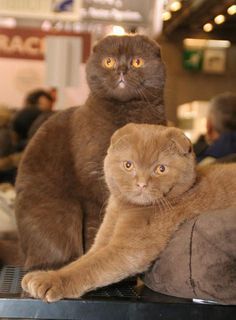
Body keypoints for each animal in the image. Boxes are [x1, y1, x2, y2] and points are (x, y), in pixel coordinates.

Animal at [11, 35, 166, 270]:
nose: (121, 69)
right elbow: (97, 225)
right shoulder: (93, 179)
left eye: (137, 62)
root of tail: (22, 252)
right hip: (62, 212)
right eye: (109, 62)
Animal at [21, 124, 236, 302]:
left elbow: (89, 267)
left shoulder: (127, 249)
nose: (141, 184)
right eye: (128, 165)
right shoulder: (102, 239)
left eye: (161, 168)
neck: (125, 208)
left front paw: (50, 280)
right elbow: (82, 261)